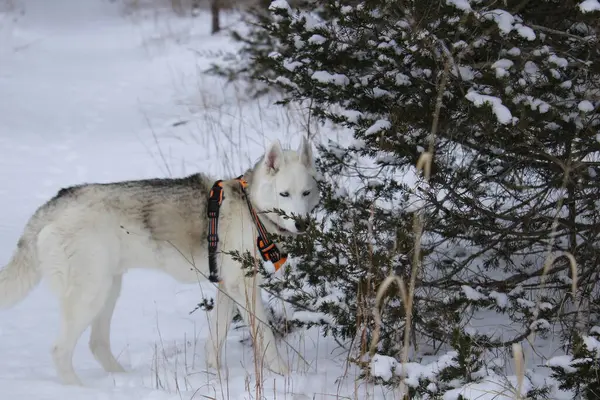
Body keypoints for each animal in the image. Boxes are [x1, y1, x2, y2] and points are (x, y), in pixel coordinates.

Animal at [0, 138, 318, 384]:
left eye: (306, 193)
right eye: (284, 194)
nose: (302, 224)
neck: (253, 210)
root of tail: (54, 203)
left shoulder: (228, 288)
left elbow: (216, 336)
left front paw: (215, 376)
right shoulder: (244, 288)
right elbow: (265, 335)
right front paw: (284, 374)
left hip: (108, 290)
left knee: (96, 344)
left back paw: (122, 380)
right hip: (90, 296)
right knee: (60, 350)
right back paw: (80, 390)